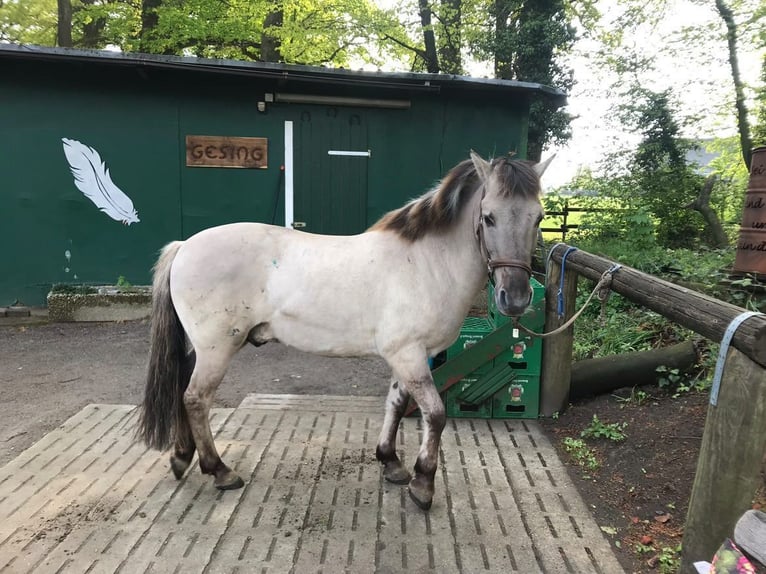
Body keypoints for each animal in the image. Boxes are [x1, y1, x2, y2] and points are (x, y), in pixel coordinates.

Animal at [138, 151, 552, 510]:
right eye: (489, 217)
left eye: (538, 217)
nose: (515, 298)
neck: (426, 263)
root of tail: (185, 245)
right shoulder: (410, 355)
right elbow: (434, 415)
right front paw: (422, 483)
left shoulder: (406, 355)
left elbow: (396, 404)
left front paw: (391, 462)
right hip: (216, 348)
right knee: (195, 398)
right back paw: (220, 471)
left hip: (200, 347)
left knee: (182, 388)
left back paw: (182, 457)